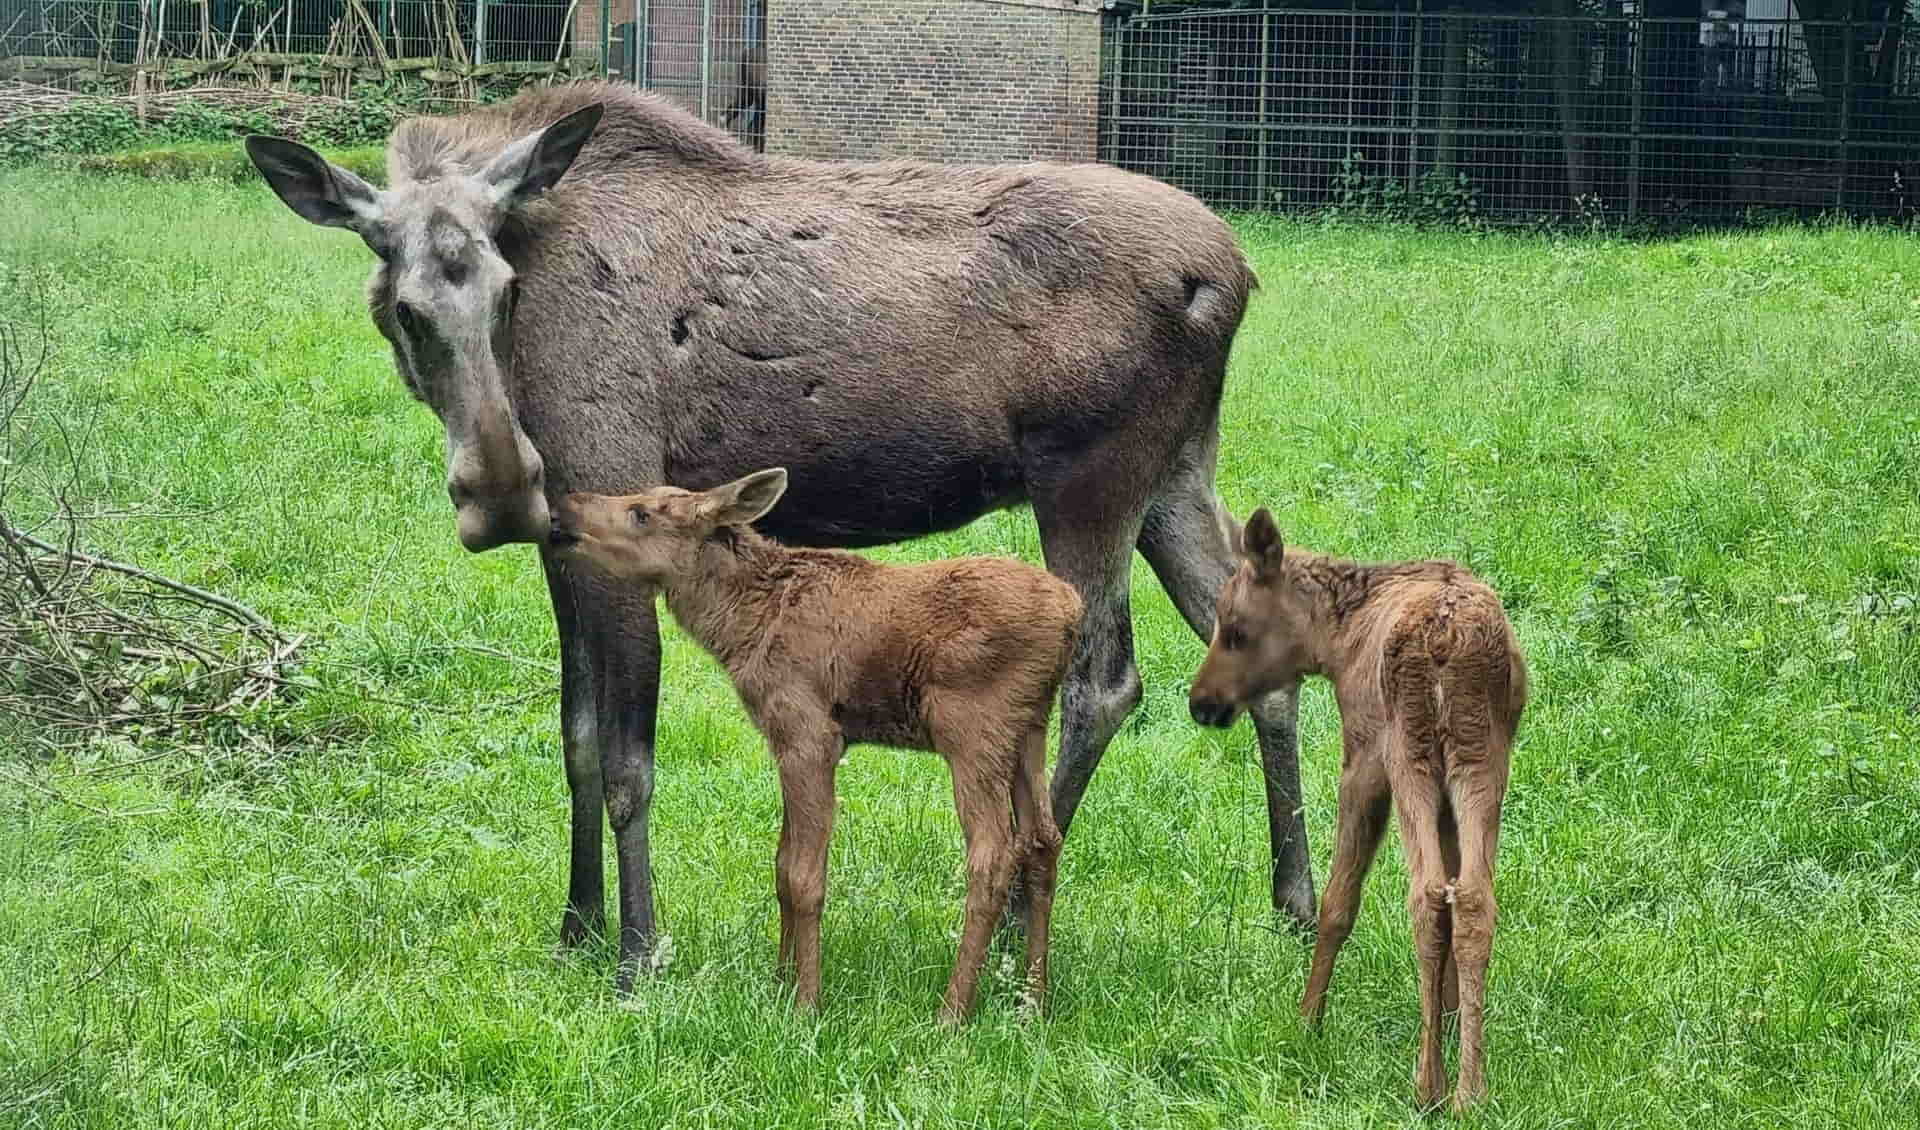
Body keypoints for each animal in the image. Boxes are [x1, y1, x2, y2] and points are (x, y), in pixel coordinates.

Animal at [552, 466, 1082, 1020]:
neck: (740, 627)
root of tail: (1072, 614)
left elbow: (805, 877)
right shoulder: (785, 740)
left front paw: (807, 1001)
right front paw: (779, 983)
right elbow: (782, 867)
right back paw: (1032, 1000)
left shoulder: (809, 733)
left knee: (993, 853)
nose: (565, 508)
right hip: (1029, 728)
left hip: (973, 726)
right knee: (1043, 840)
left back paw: (952, 1011)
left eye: (641, 513)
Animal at [1182, 510, 1528, 1112]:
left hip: (1407, 750)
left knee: (1426, 892)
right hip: (1479, 756)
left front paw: (1308, 1020)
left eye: (1235, 628)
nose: (1202, 701)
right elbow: (1455, 885)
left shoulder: (1363, 757)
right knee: (1472, 896)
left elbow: (1338, 900)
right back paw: (1469, 1089)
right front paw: (1451, 1020)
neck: (1335, 640)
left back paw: (1428, 1085)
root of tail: (1447, 639)